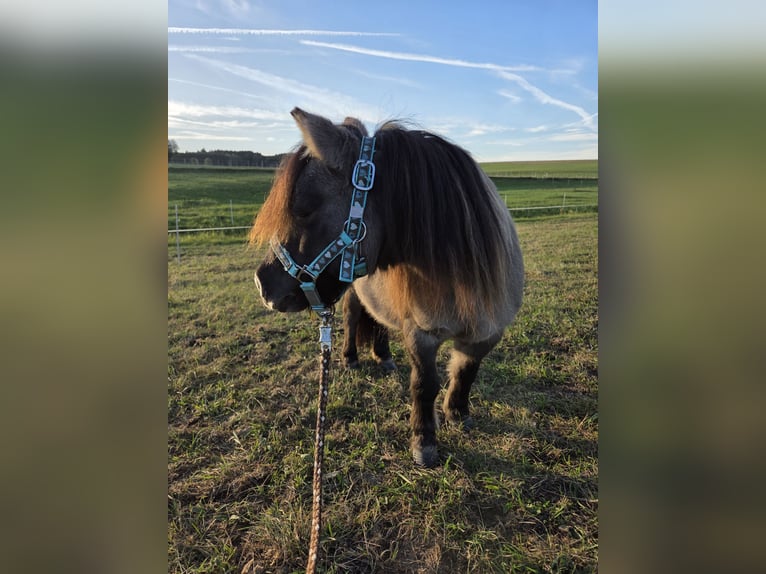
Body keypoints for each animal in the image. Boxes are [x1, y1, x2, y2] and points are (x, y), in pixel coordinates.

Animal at [250, 108, 524, 467]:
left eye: (304, 208)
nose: (262, 283)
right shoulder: (421, 333)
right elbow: (424, 384)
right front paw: (424, 442)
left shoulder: (487, 333)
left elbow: (466, 372)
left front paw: (457, 413)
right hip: (353, 295)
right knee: (353, 319)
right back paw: (351, 358)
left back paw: (384, 357)